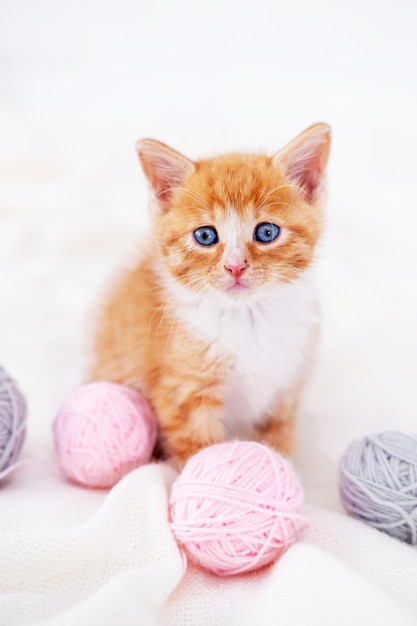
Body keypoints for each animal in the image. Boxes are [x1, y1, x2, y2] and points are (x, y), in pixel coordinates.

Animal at [89, 123, 330, 464]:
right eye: (205, 235)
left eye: (266, 232)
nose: (235, 266)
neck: (248, 319)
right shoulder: (183, 393)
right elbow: (200, 451)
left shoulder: (285, 392)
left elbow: (277, 443)